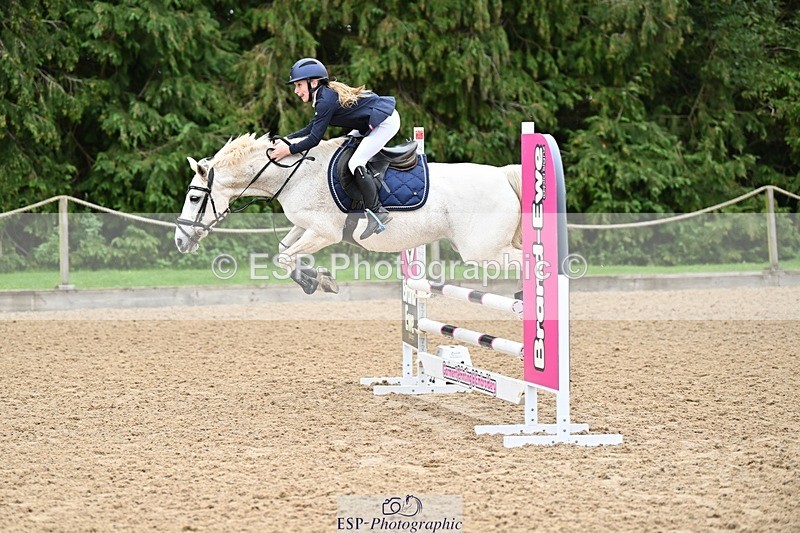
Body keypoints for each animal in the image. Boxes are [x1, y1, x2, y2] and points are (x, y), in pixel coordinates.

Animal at [174, 133, 523, 294]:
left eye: (194, 197)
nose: (180, 241)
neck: (296, 174)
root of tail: (502, 175)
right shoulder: (304, 227)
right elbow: (284, 251)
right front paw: (320, 278)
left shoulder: (324, 232)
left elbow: (285, 257)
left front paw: (317, 282)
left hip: (482, 250)